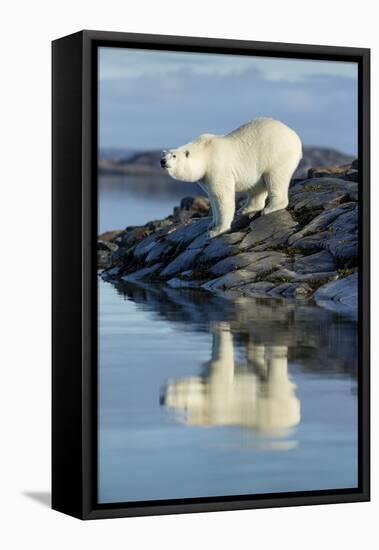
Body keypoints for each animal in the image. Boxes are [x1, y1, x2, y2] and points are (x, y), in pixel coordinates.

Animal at [162, 118, 304, 239]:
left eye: (174, 156)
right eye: (164, 154)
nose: (162, 161)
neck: (205, 153)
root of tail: (294, 135)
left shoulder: (217, 167)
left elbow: (222, 197)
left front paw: (217, 231)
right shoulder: (205, 178)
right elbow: (213, 198)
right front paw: (211, 224)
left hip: (276, 154)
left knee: (275, 178)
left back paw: (271, 208)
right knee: (257, 186)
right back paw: (246, 209)